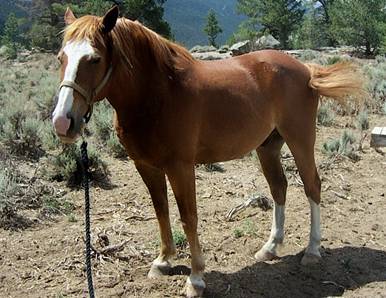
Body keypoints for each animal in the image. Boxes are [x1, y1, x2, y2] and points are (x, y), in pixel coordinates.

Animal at [52, 7, 364, 298]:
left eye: (94, 59)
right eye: (61, 58)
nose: (62, 122)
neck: (159, 94)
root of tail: (306, 69)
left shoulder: (180, 166)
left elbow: (188, 217)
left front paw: (196, 278)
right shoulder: (146, 165)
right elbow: (161, 210)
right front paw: (163, 261)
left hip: (300, 140)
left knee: (312, 186)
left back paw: (312, 250)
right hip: (268, 147)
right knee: (279, 188)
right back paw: (271, 247)